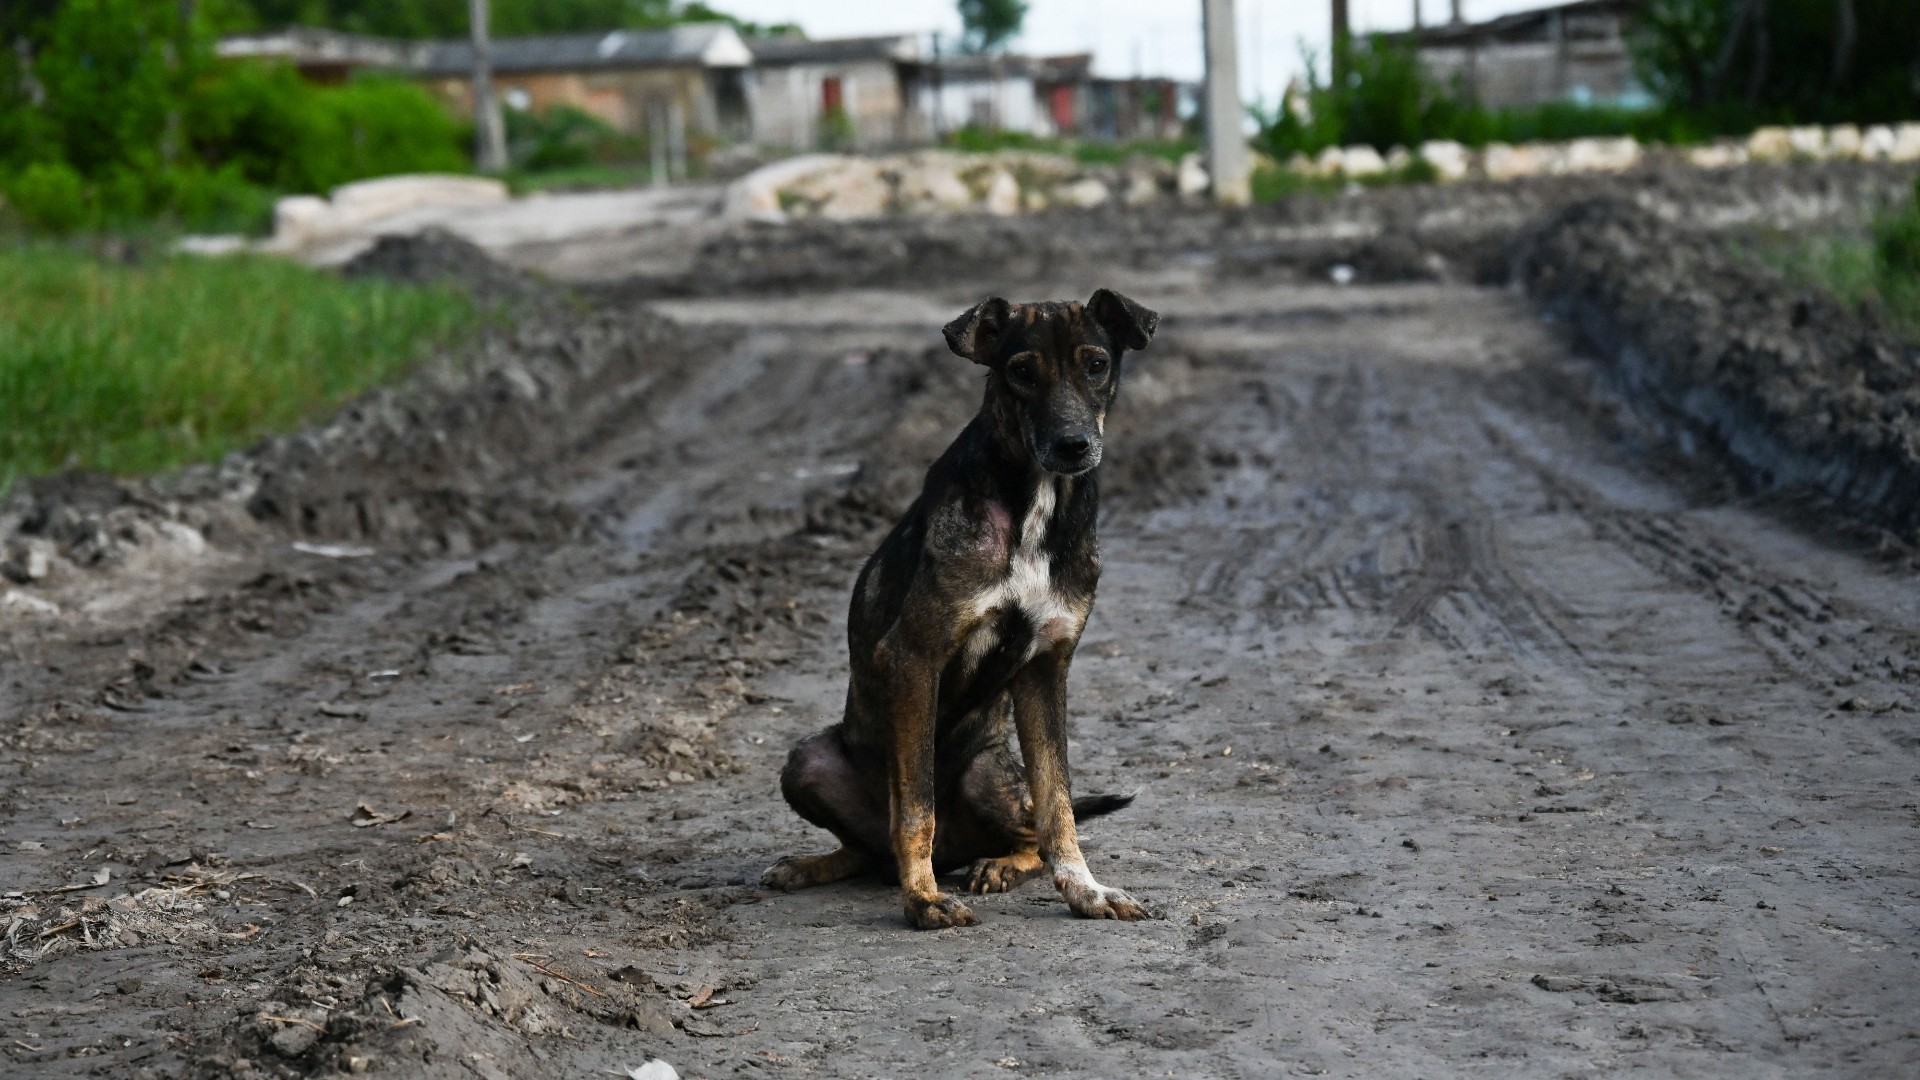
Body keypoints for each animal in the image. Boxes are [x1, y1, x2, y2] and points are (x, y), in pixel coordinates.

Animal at [760, 286, 1152, 926]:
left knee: (1027, 833)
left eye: (1096, 364)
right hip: (807, 762)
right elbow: (916, 804)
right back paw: (816, 865)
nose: (1073, 446)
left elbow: (1059, 803)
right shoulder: (914, 657)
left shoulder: (1047, 666)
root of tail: (958, 848)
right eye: (1022, 372)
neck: (1036, 502)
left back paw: (997, 865)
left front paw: (1087, 891)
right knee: (870, 846)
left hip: (985, 775)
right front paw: (921, 899)